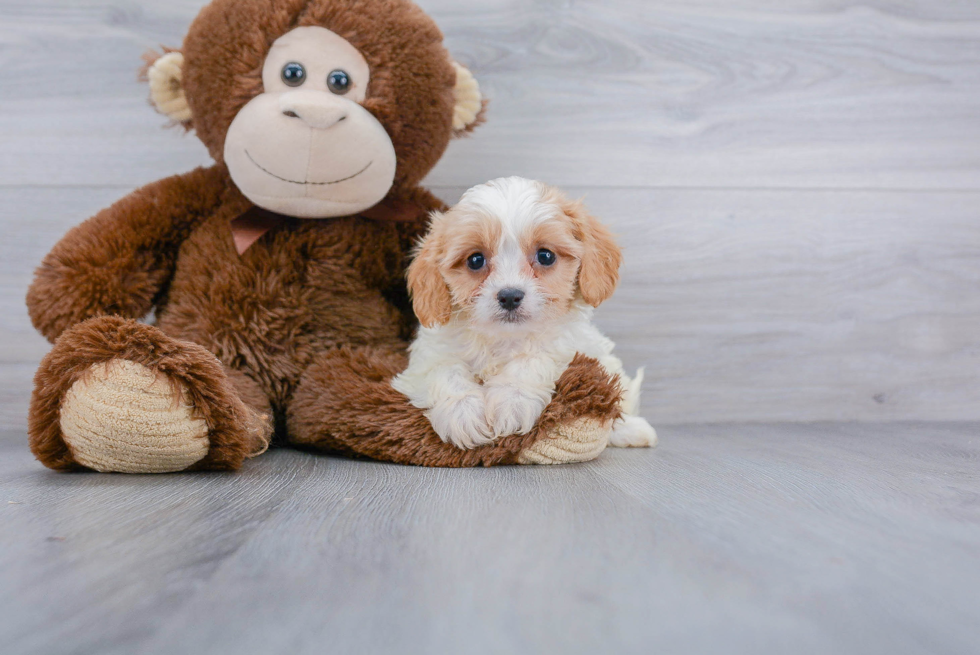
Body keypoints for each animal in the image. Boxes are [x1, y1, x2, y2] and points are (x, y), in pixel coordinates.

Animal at [390, 176, 660, 452]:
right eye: (475, 260)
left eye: (545, 256)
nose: (510, 296)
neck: (505, 338)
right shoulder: (427, 358)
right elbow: (445, 371)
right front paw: (462, 412)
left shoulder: (571, 347)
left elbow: (533, 359)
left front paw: (512, 400)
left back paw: (634, 430)